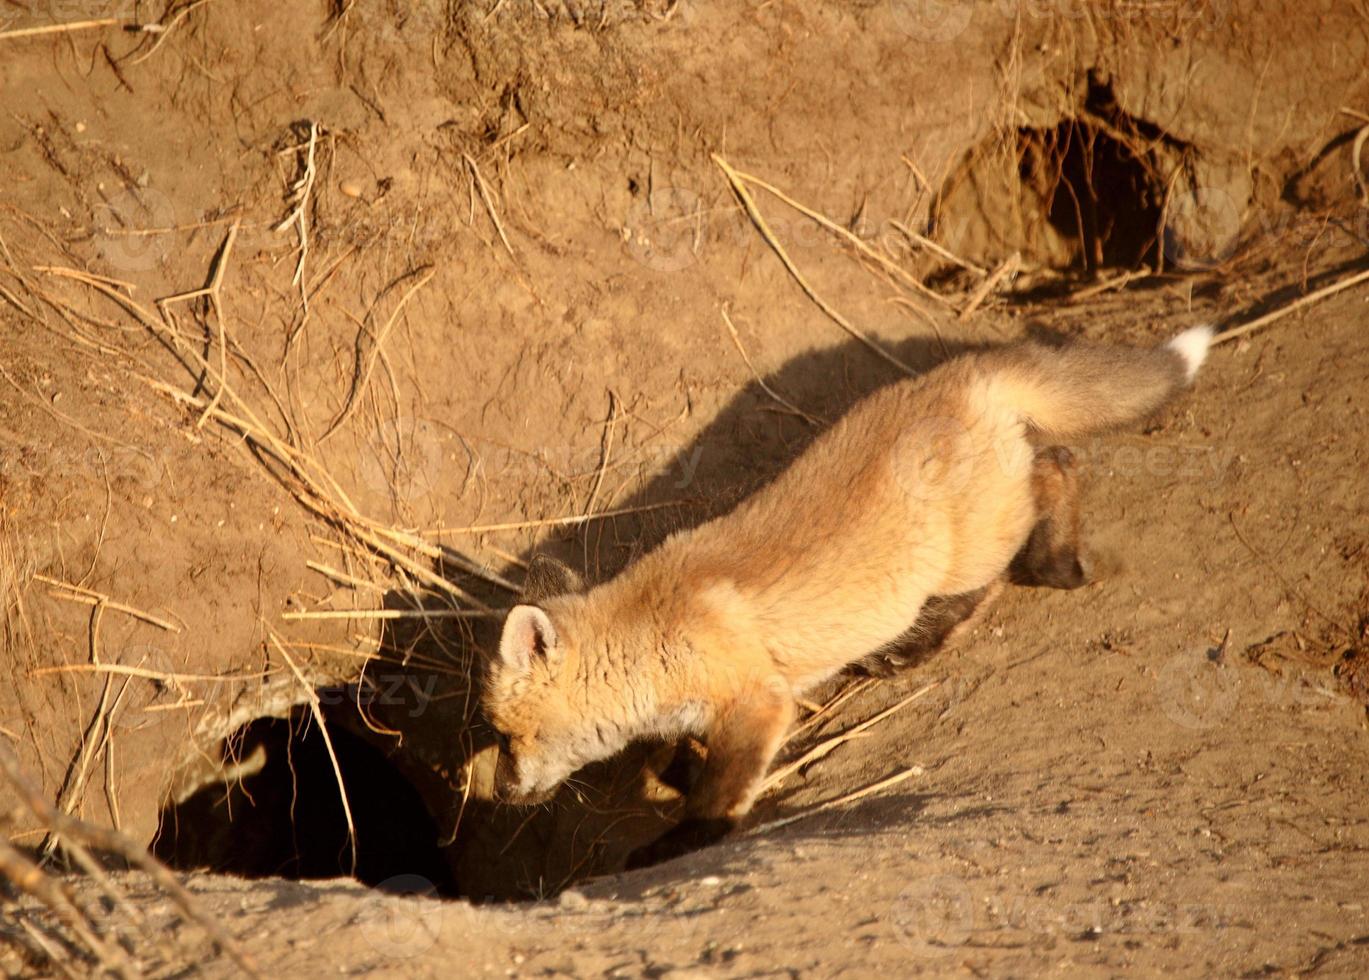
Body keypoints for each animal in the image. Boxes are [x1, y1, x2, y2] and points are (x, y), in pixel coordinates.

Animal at [479, 327, 1210, 865]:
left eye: (507, 737)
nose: (501, 792)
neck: (654, 635)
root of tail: (961, 373)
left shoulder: (757, 700)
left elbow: (718, 794)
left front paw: (684, 840)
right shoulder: (704, 712)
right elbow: (683, 759)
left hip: (973, 544)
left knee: (1043, 489)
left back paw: (1039, 574)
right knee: (1053, 465)